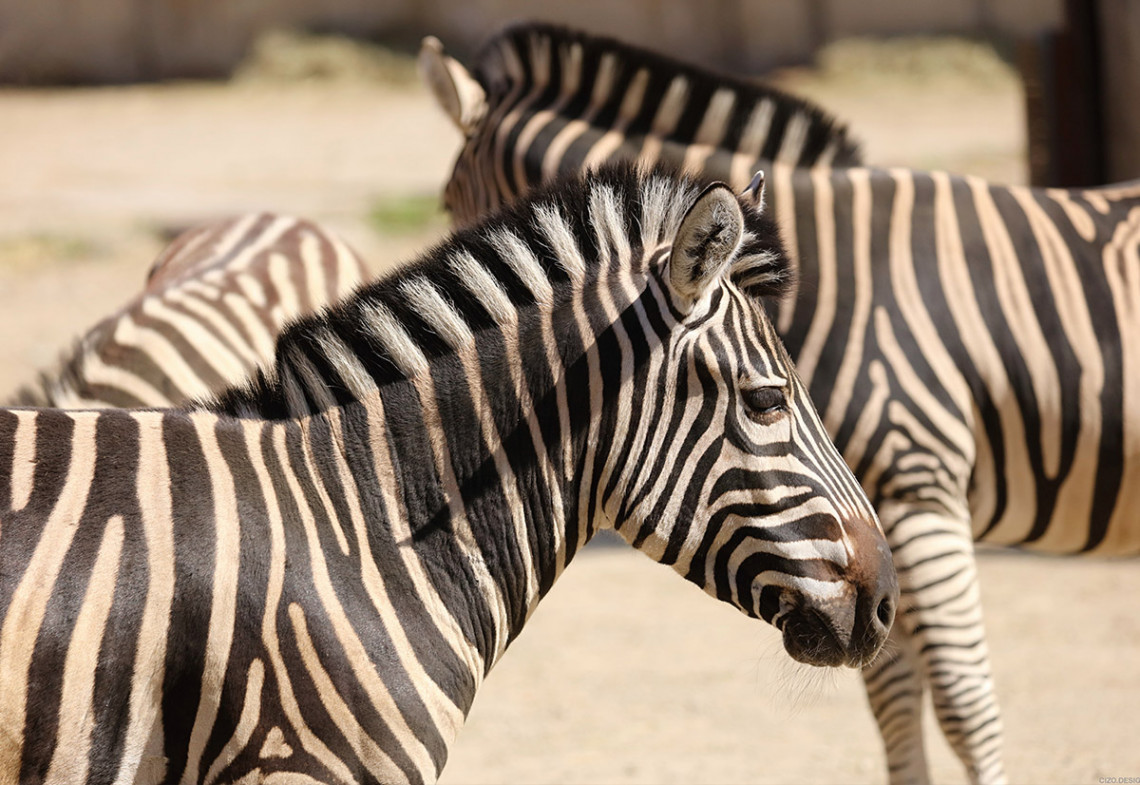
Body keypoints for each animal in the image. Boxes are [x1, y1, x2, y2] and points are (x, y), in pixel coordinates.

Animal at [421, 23, 1140, 785]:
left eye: (449, 206)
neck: (834, 276)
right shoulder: (860, 537)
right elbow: (892, 699)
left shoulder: (918, 485)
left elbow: (964, 706)